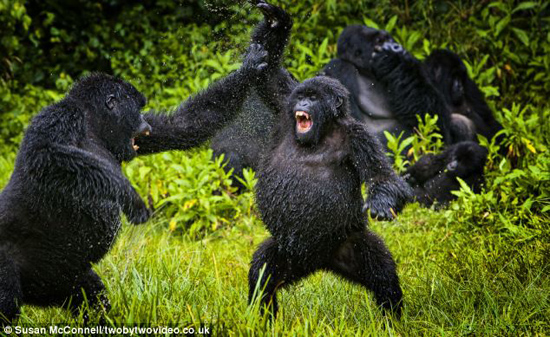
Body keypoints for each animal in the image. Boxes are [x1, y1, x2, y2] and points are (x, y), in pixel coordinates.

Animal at [0, 42, 270, 320]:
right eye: (137, 109)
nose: (144, 123)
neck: (93, 126)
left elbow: (183, 124)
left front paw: (248, 69)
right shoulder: (60, 116)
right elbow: (44, 153)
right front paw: (128, 195)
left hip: (60, 278)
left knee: (91, 297)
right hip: (5, 267)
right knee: (6, 304)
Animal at [250, 75, 414, 316]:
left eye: (313, 98)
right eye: (301, 96)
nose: (303, 104)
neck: (323, 131)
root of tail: (318, 263)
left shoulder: (359, 136)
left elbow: (381, 175)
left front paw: (382, 203)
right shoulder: (284, 113)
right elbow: (272, 87)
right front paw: (259, 65)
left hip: (347, 243)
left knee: (381, 271)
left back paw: (392, 316)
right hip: (287, 252)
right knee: (263, 274)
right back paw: (261, 317)